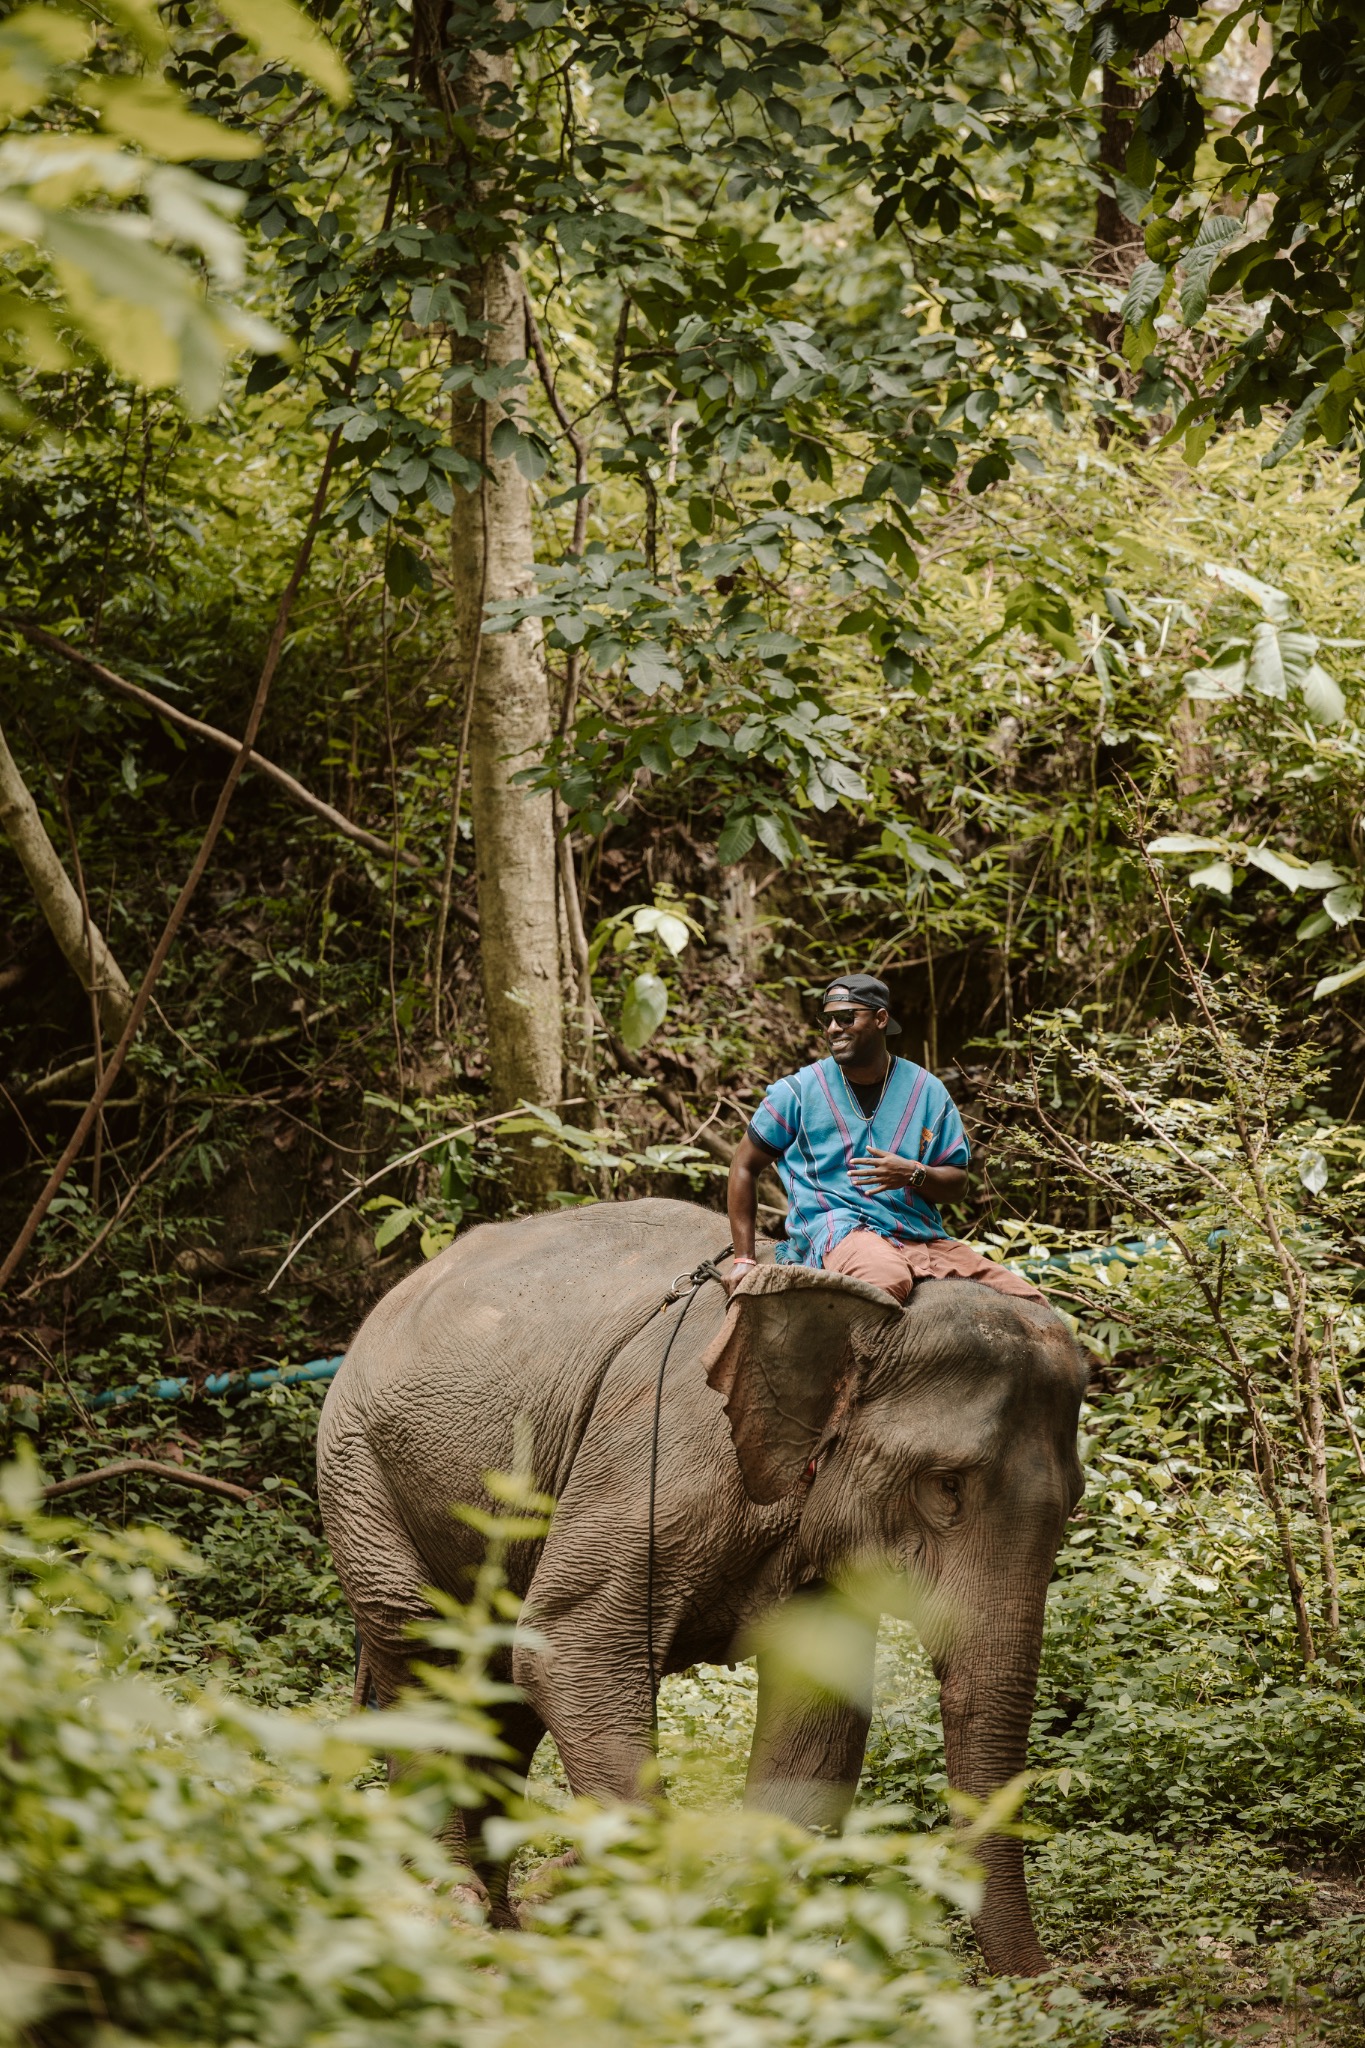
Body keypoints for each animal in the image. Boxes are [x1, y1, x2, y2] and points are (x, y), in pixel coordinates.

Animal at [317, 1196, 1087, 1975]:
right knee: (423, 1652)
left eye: (1076, 1500)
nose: (1045, 1982)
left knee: (500, 1693)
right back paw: (458, 1916)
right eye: (946, 1486)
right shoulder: (658, 1465)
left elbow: (818, 1719)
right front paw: (565, 1895)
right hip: (357, 1472)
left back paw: (498, 1922)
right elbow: (571, 1648)